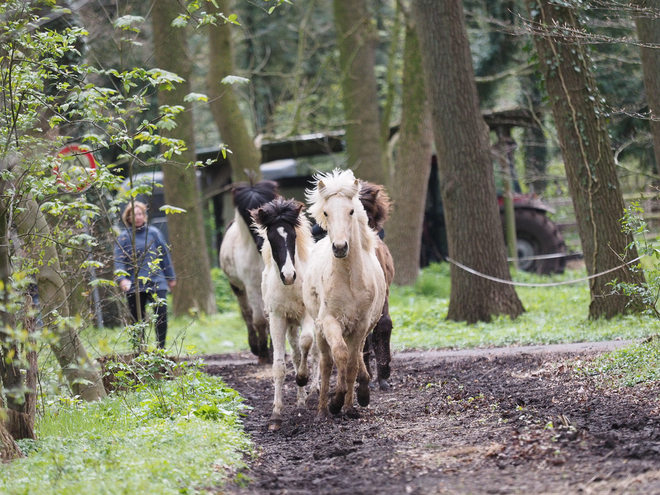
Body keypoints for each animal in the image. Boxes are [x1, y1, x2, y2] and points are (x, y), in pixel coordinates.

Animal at [218, 181, 278, 364]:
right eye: (247, 214)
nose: (262, 241)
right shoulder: (251, 286)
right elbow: (258, 319)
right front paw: (264, 353)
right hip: (237, 286)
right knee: (247, 313)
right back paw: (255, 346)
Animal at [251, 198, 316, 430]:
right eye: (271, 238)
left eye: (293, 236)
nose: (288, 275)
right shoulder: (278, 319)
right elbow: (279, 366)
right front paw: (276, 415)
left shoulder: (307, 316)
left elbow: (307, 343)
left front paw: (303, 378)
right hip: (291, 324)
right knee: (297, 355)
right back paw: (301, 401)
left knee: (317, 353)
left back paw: (313, 391)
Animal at [304, 170, 386, 418]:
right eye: (326, 212)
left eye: (351, 211)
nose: (340, 247)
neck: (349, 280)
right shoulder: (330, 321)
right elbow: (340, 355)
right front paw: (335, 402)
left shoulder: (360, 325)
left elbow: (351, 363)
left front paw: (349, 405)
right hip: (320, 330)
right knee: (326, 363)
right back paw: (322, 409)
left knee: (357, 356)